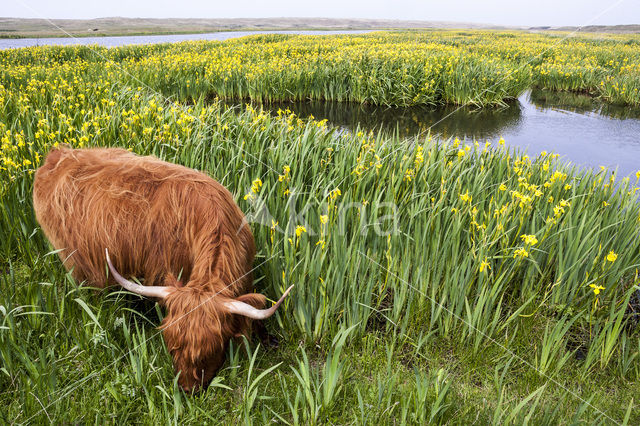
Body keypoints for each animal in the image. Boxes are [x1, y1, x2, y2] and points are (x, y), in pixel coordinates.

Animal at [33, 146, 294, 392]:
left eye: (210, 350)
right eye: (172, 347)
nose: (187, 389)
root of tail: (58, 154)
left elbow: (255, 309)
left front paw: (268, 339)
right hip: (75, 261)